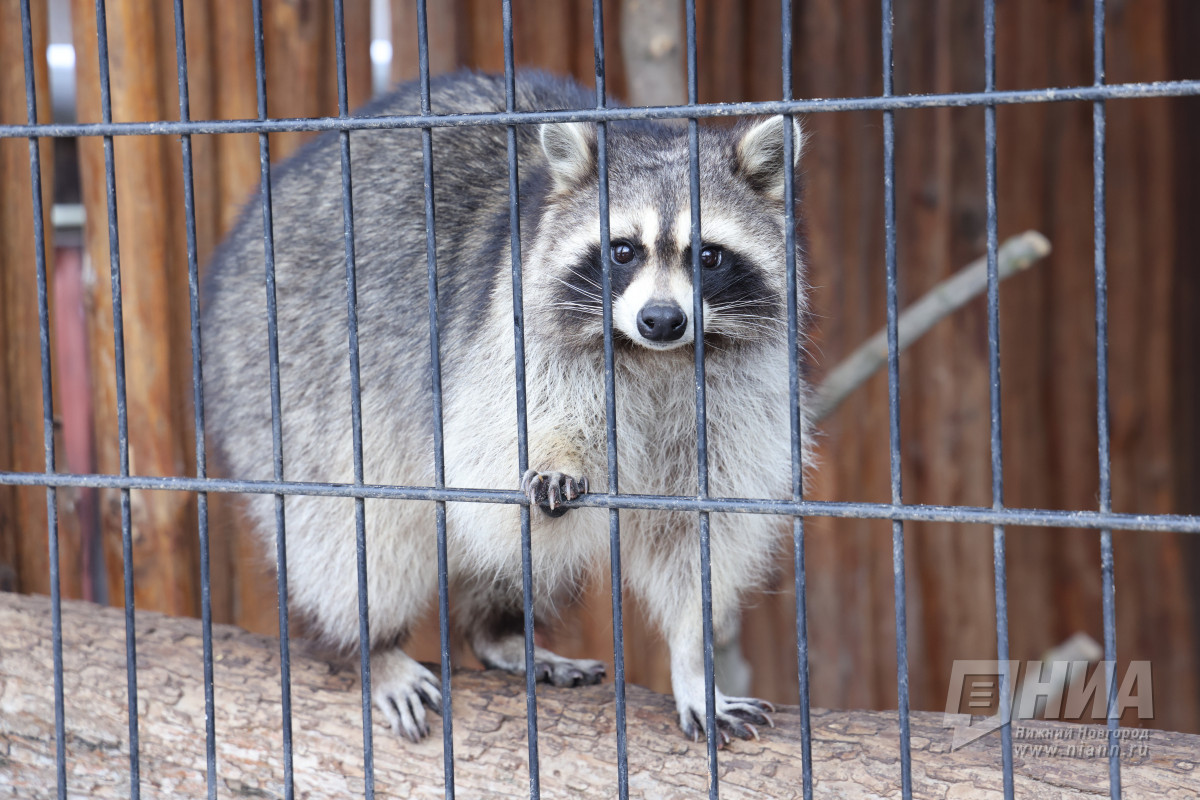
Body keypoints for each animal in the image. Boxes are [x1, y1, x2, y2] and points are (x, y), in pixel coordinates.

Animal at [201, 71, 811, 748]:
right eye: (623, 251)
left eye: (708, 256)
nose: (661, 319)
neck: (659, 358)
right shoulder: (508, 333)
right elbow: (487, 454)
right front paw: (557, 456)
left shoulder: (742, 394)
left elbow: (701, 533)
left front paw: (692, 660)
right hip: (287, 377)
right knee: (354, 531)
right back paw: (374, 645)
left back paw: (498, 632)